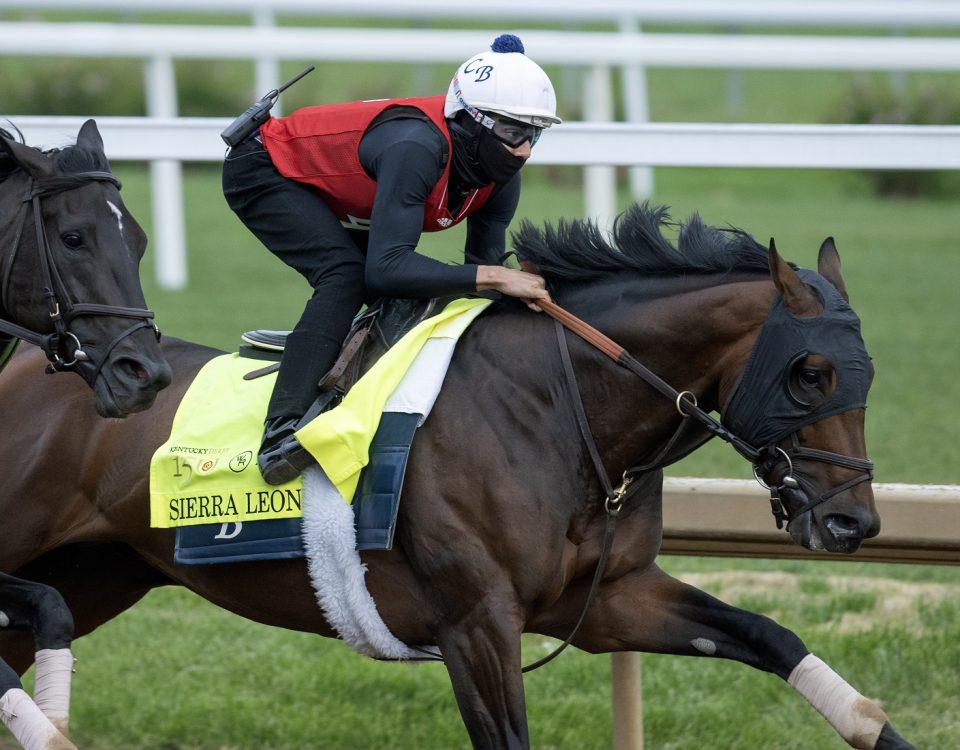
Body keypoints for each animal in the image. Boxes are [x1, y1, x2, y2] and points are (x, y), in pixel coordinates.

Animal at [0, 206, 916, 750]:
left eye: (868, 372)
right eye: (809, 374)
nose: (853, 525)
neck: (557, 412)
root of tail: (34, 358)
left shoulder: (608, 600)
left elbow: (775, 639)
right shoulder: (476, 624)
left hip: (101, 573)